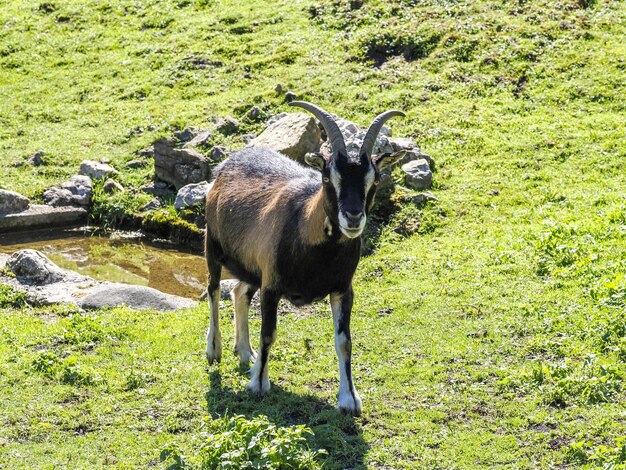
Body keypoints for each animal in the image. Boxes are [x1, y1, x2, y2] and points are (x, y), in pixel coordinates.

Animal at [202, 102, 402, 414]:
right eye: (327, 177)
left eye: (375, 179)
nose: (353, 217)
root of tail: (225, 167)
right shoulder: (272, 286)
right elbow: (268, 333)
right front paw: (259, 385)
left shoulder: (342, 289)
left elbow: (344, 341)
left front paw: (349, 399)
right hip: (212, 244)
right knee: (212, 289)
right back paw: (215, 350)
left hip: (252, 268)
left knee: (238, 292)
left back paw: (245, 353)